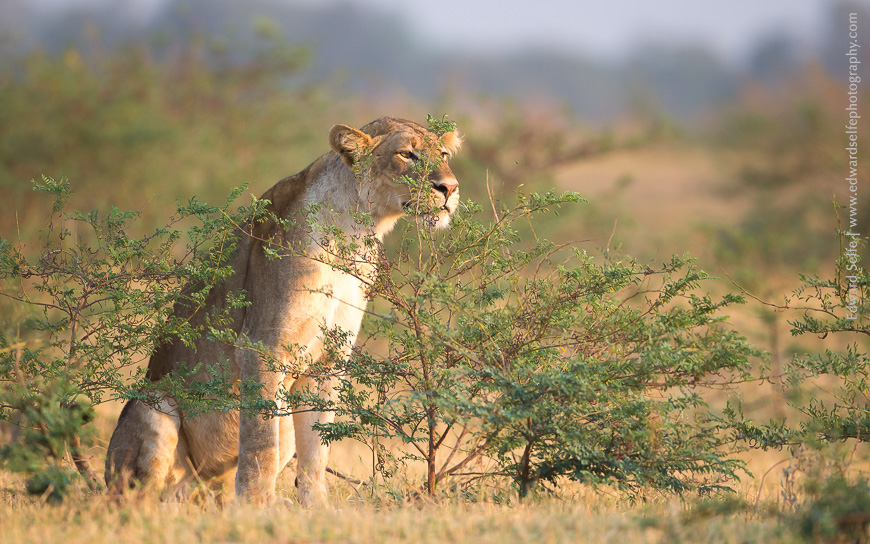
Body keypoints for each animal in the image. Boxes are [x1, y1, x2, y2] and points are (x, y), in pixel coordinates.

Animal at [105, 117, 462, 506]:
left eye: (443, 155)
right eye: (407, 154)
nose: (450, 188)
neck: (355, 235)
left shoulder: (329, 359)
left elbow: (318, 446)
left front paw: (316, 505)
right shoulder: (262, 347)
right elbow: (260, 443)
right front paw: (257, 506)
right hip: (152, 405)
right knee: (140, 498)